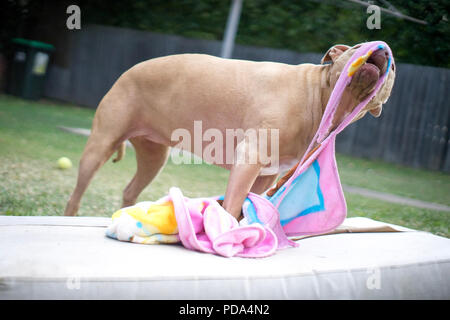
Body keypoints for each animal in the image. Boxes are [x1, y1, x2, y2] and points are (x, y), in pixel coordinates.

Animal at [63, 43, 394, 218]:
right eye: (356, 48)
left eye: (392, 67)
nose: (382, 50)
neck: (318, 98)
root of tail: (129, 71)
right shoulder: (250, 158)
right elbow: (233, 202)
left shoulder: (266, 175)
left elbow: (245, 204)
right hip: (100, 146)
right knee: (77, 192)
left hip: (153, 158)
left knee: (130, 190)